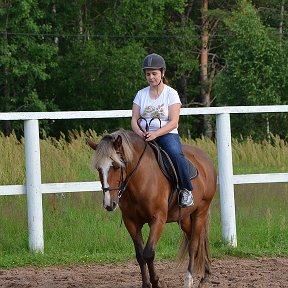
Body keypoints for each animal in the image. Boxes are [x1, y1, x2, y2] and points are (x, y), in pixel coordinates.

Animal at [87, 130, 216, 288]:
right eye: (99, 168)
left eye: (117, 166)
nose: (108, 204)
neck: (140, 179)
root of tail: (206, 159)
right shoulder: (131, 222)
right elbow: (140, 255)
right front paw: (146, 284)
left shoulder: (158, 220)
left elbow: (148, 253)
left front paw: (156, 282)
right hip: (185, 218)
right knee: (196, 240)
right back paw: (205, 275)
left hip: (201, 211)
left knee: (194, 245)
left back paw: (189, 279)